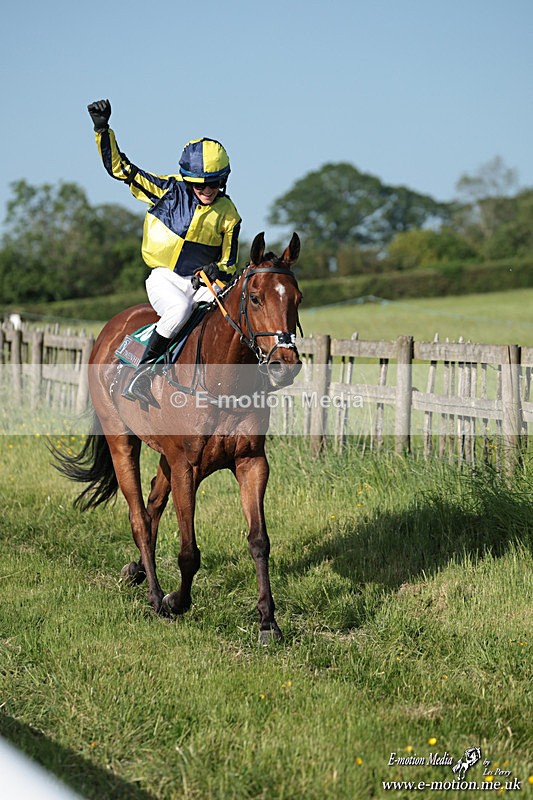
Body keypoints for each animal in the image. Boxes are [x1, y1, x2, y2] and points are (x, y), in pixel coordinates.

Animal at [52, 232, 302, 643]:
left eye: (297, 298)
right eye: (255, 297)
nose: (286, 365)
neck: (222, 383)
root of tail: (111, 327)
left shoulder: (251, 461)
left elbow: (259, 541)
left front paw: (268, 621)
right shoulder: (187, 466)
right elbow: (189, 551)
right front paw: (177, 601)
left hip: (165, 455)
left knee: (153, 504)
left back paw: (139, 570)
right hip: (122, 440)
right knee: (139, 515)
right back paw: (155, 595)